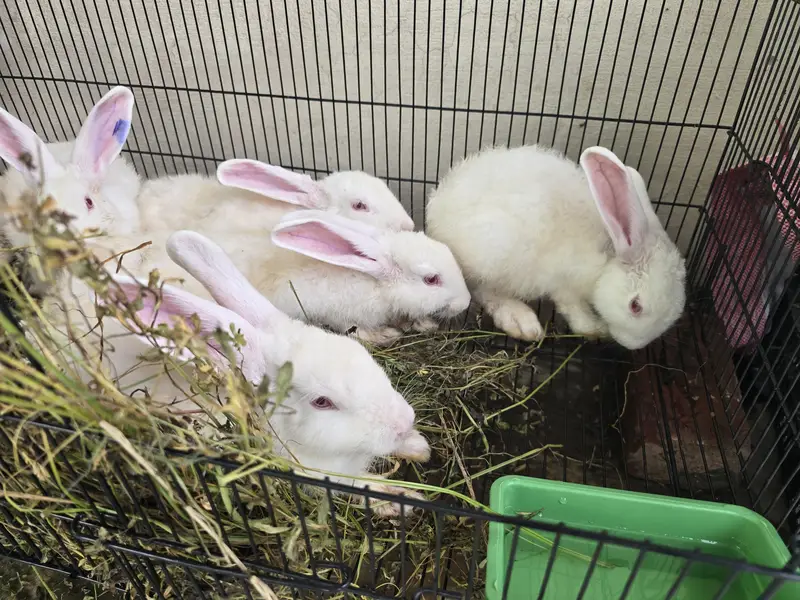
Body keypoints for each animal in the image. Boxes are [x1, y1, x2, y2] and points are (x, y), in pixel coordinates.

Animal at [65, 231, 430, 516]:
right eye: (322, 402)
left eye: (361, 355)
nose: (404, 421)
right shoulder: (319, 473)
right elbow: (362, 487)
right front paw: (402, 499)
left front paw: (418, 446)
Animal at [425, 145, 686, 350]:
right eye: (635, 306)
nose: (634, 345)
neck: (607, 256)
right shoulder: (565, 284)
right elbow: (575, 312)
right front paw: (596, 329)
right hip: (494, 253)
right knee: (483, 290)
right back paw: (522, 321)